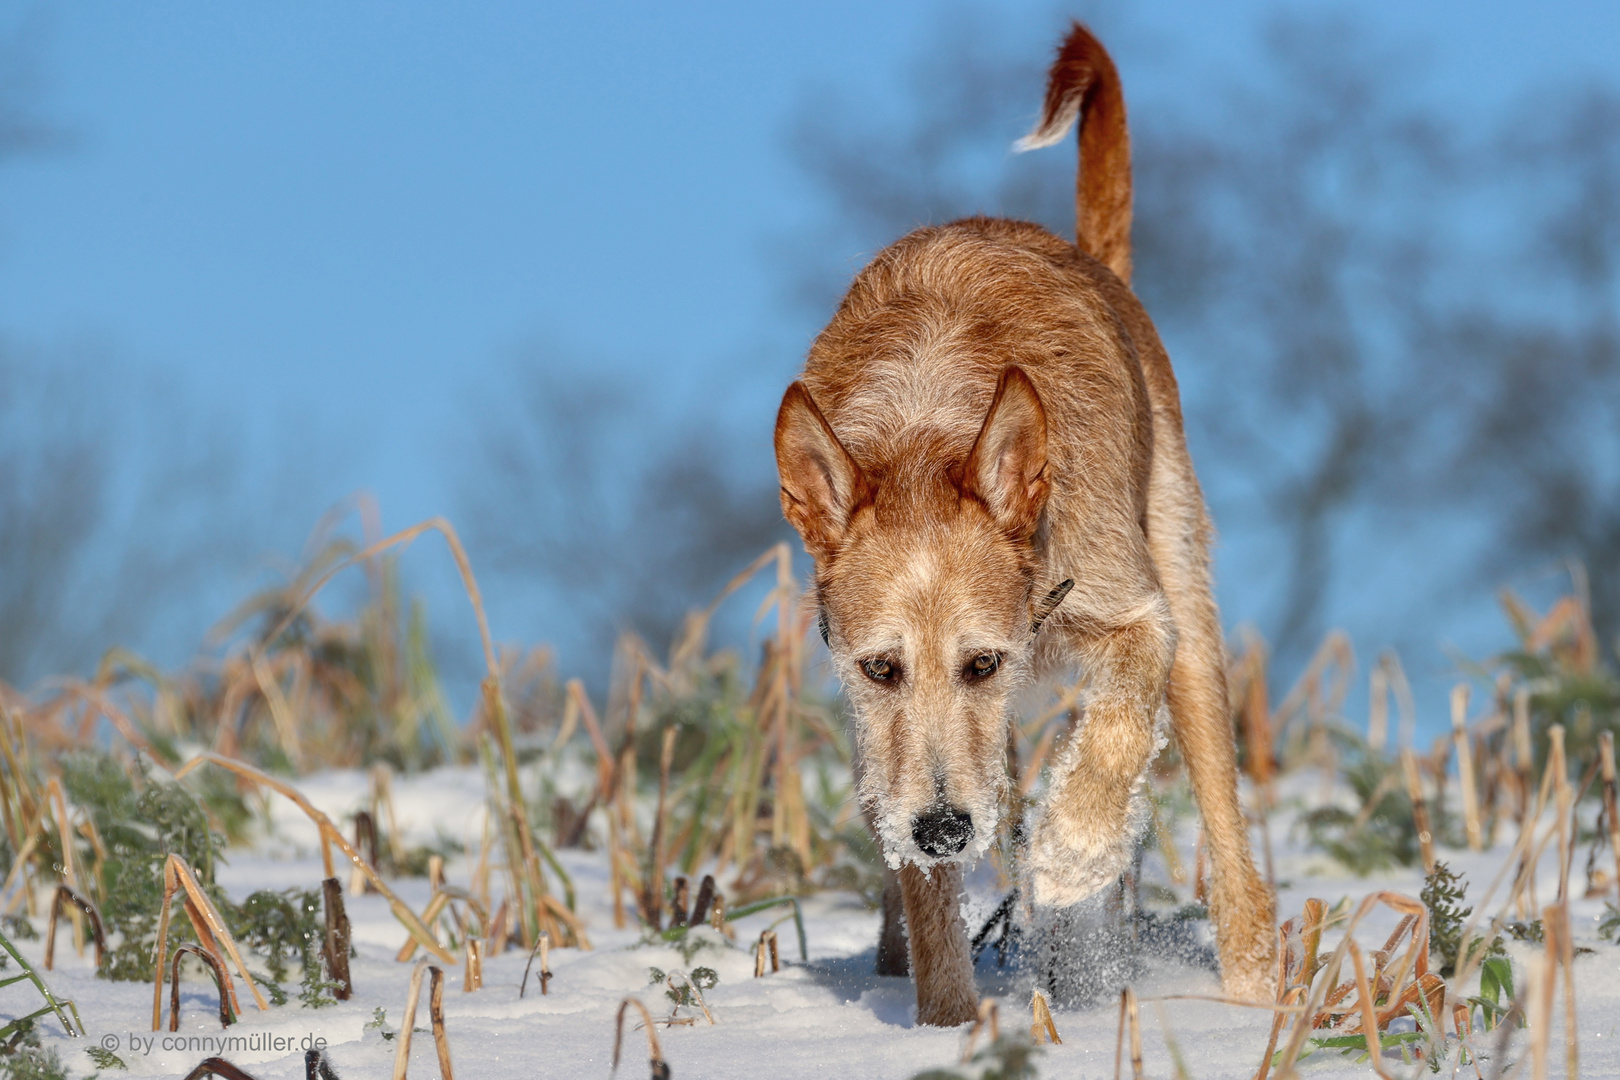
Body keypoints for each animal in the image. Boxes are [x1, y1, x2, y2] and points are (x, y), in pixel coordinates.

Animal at [771, 21, 1276, 1029]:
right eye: (881, 668)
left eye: (983, 663)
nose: (942, 829)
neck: (927, 429)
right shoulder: (886, 732)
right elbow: (928, 897)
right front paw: (947, 1026)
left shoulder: (1132, 613)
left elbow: (1115, 731)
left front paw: (1072, 853)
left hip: (1188, 602)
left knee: (1224, 826)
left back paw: (1248, 994)